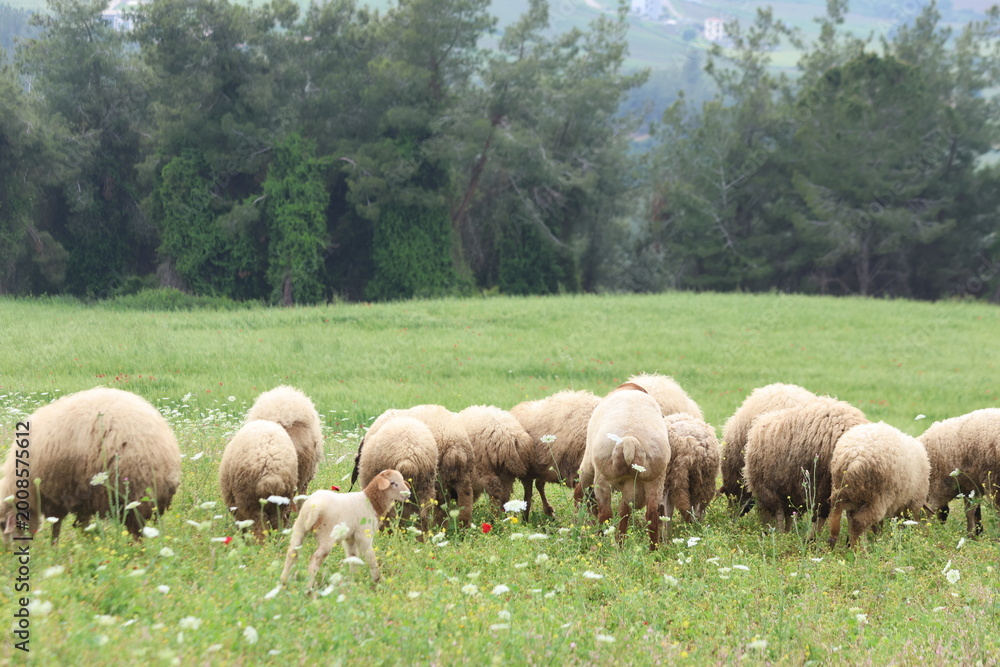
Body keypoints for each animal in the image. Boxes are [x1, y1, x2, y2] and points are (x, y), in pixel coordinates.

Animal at [0, 387, 181, 542]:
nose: (9, 552)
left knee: (136, 531)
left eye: (2, 525)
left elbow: (57, 525)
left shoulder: (55, 494)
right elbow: (82, 523)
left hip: (134, 494)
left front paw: (55, 548)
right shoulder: (80, 496)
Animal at [279, 469, 410, 589]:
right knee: (315, 559)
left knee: (291, 553)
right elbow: (370, 557)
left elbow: (353, 557)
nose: (408, 494)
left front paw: (352, 580)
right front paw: (378, 580)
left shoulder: (350, 538)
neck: (372, 502)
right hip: (327, 536)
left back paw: (283, 582)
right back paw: (308, 588)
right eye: (393, 483)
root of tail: (314, 507)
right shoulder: (364, 535)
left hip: (299, 528)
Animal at [510, 390, 600, 518]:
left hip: (545, 466)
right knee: (528, 495)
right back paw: (526, 518)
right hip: (527, 470)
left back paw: (548, 512)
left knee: (539, 484)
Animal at [576, 383, 671, 549]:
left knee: (603, 512)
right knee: (652, 515)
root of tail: (630, 440)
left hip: (601, 475)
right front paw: (621, 541)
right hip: (655, 479)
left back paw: (601, 546)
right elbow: (624, 512)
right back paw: (653, 550)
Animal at [743, 396, 868, 535]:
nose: (764, 531)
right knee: (854, 517)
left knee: (821, 514)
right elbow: (789, 515)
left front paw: (781, 534)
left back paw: (811, 538)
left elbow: (779, 515)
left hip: (821, 482)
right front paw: (787, 533)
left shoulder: (770, 488)